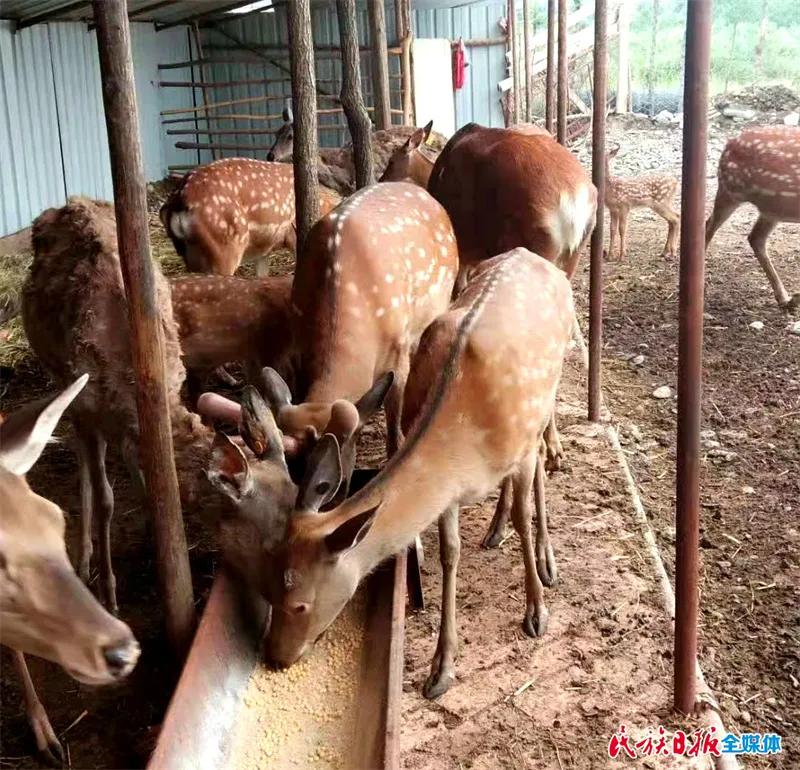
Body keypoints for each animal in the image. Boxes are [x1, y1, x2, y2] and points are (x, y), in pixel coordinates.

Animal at [22, 197, 299, 615]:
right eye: (269, 543)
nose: (290, 601)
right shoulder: (87, 405)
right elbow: (105, 499)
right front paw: (109, 595)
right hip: (59, 379)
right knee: (83, 459)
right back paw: (85, 561)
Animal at [264, 248, 574, 700]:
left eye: (300, 602)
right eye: (270, 587)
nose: (274, 657)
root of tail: (531, 254)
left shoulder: (519, 450)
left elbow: (524, 516)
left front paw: (536, 612)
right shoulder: (450, 492)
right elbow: (450, 552)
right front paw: (441, 668)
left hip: (546, 395)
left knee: (540, 466)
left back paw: (546, 557)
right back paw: (494, 529)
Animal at [705, 125, 800, 310]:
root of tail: (729, 142)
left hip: (771, 209)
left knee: (755, 238)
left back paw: (786, 299)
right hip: (730, 190)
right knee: (709, 225)